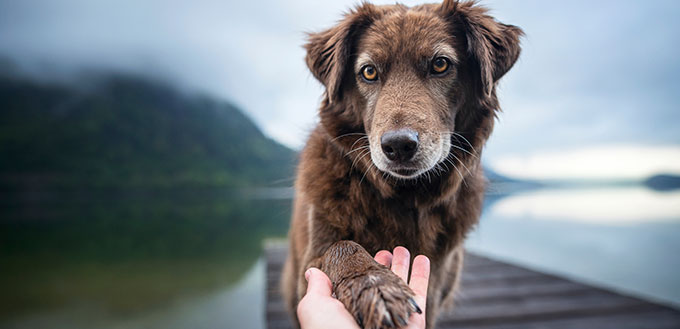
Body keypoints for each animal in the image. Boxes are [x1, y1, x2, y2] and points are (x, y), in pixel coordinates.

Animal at [282, 1, 520, 326]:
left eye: (440, 64)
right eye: (369, 71)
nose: (398, 146)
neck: (405, 197)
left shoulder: (436, 286)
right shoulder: (308, 265)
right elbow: (342, 247)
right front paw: (374, 285)